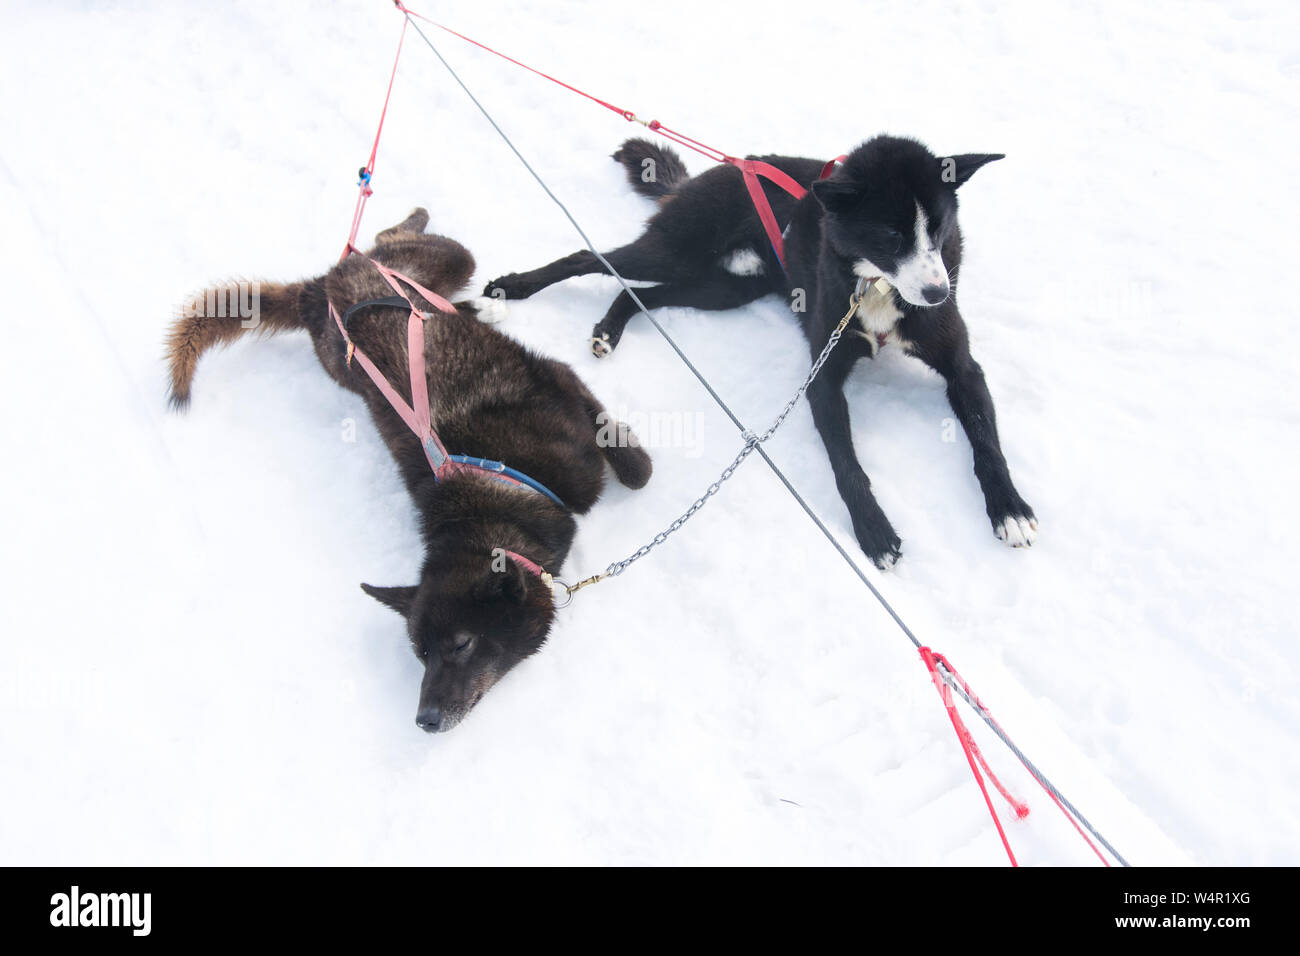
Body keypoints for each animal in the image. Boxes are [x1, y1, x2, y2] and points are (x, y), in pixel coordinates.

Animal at [167, 209, 650, 728]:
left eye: (461, 644)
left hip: (451, 257)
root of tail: (320, 289)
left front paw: (633, 458)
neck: (501, 494)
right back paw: (472, 302)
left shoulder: (563, 385)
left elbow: (635, 469)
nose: (425, 719)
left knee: (392, 238)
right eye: (421, 654)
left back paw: (422, 239)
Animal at [488, 136, 1034, 567]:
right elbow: (846, 465)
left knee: (644, 293)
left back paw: (609, 327)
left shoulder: (962, 368)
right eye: (891, 235)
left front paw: (1009, 508)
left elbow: (986, 442)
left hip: (726, 288)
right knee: (590, 258)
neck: (876, 287)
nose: (939, 294)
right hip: (675, 252)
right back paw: (511, 288)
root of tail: (725, 166)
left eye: (938, 229)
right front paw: (873, 529)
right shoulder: (822, 378)